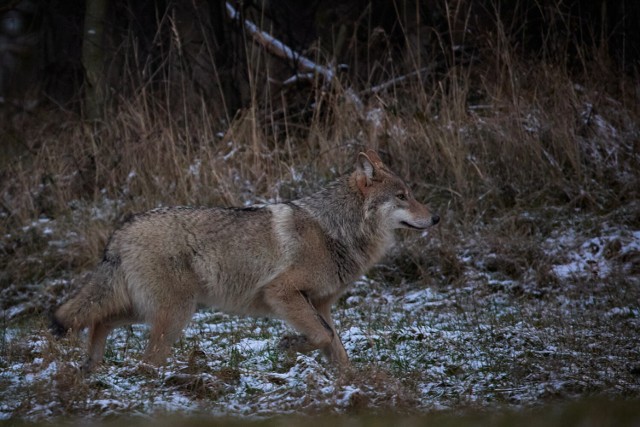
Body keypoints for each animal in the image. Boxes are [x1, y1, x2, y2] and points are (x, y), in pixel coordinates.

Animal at [51, 150, 440, 372]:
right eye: (403, 196)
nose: (436, 218)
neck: (335, 230)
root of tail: (122, 229)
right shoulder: (281, 292)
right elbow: (321, 335)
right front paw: (289, 346)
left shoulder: (321, 305)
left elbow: (335, 345)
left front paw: (354, 390)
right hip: (174, 316)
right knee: (144, 358)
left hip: (145, 310)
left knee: (99, 321)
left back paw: (91, 367)